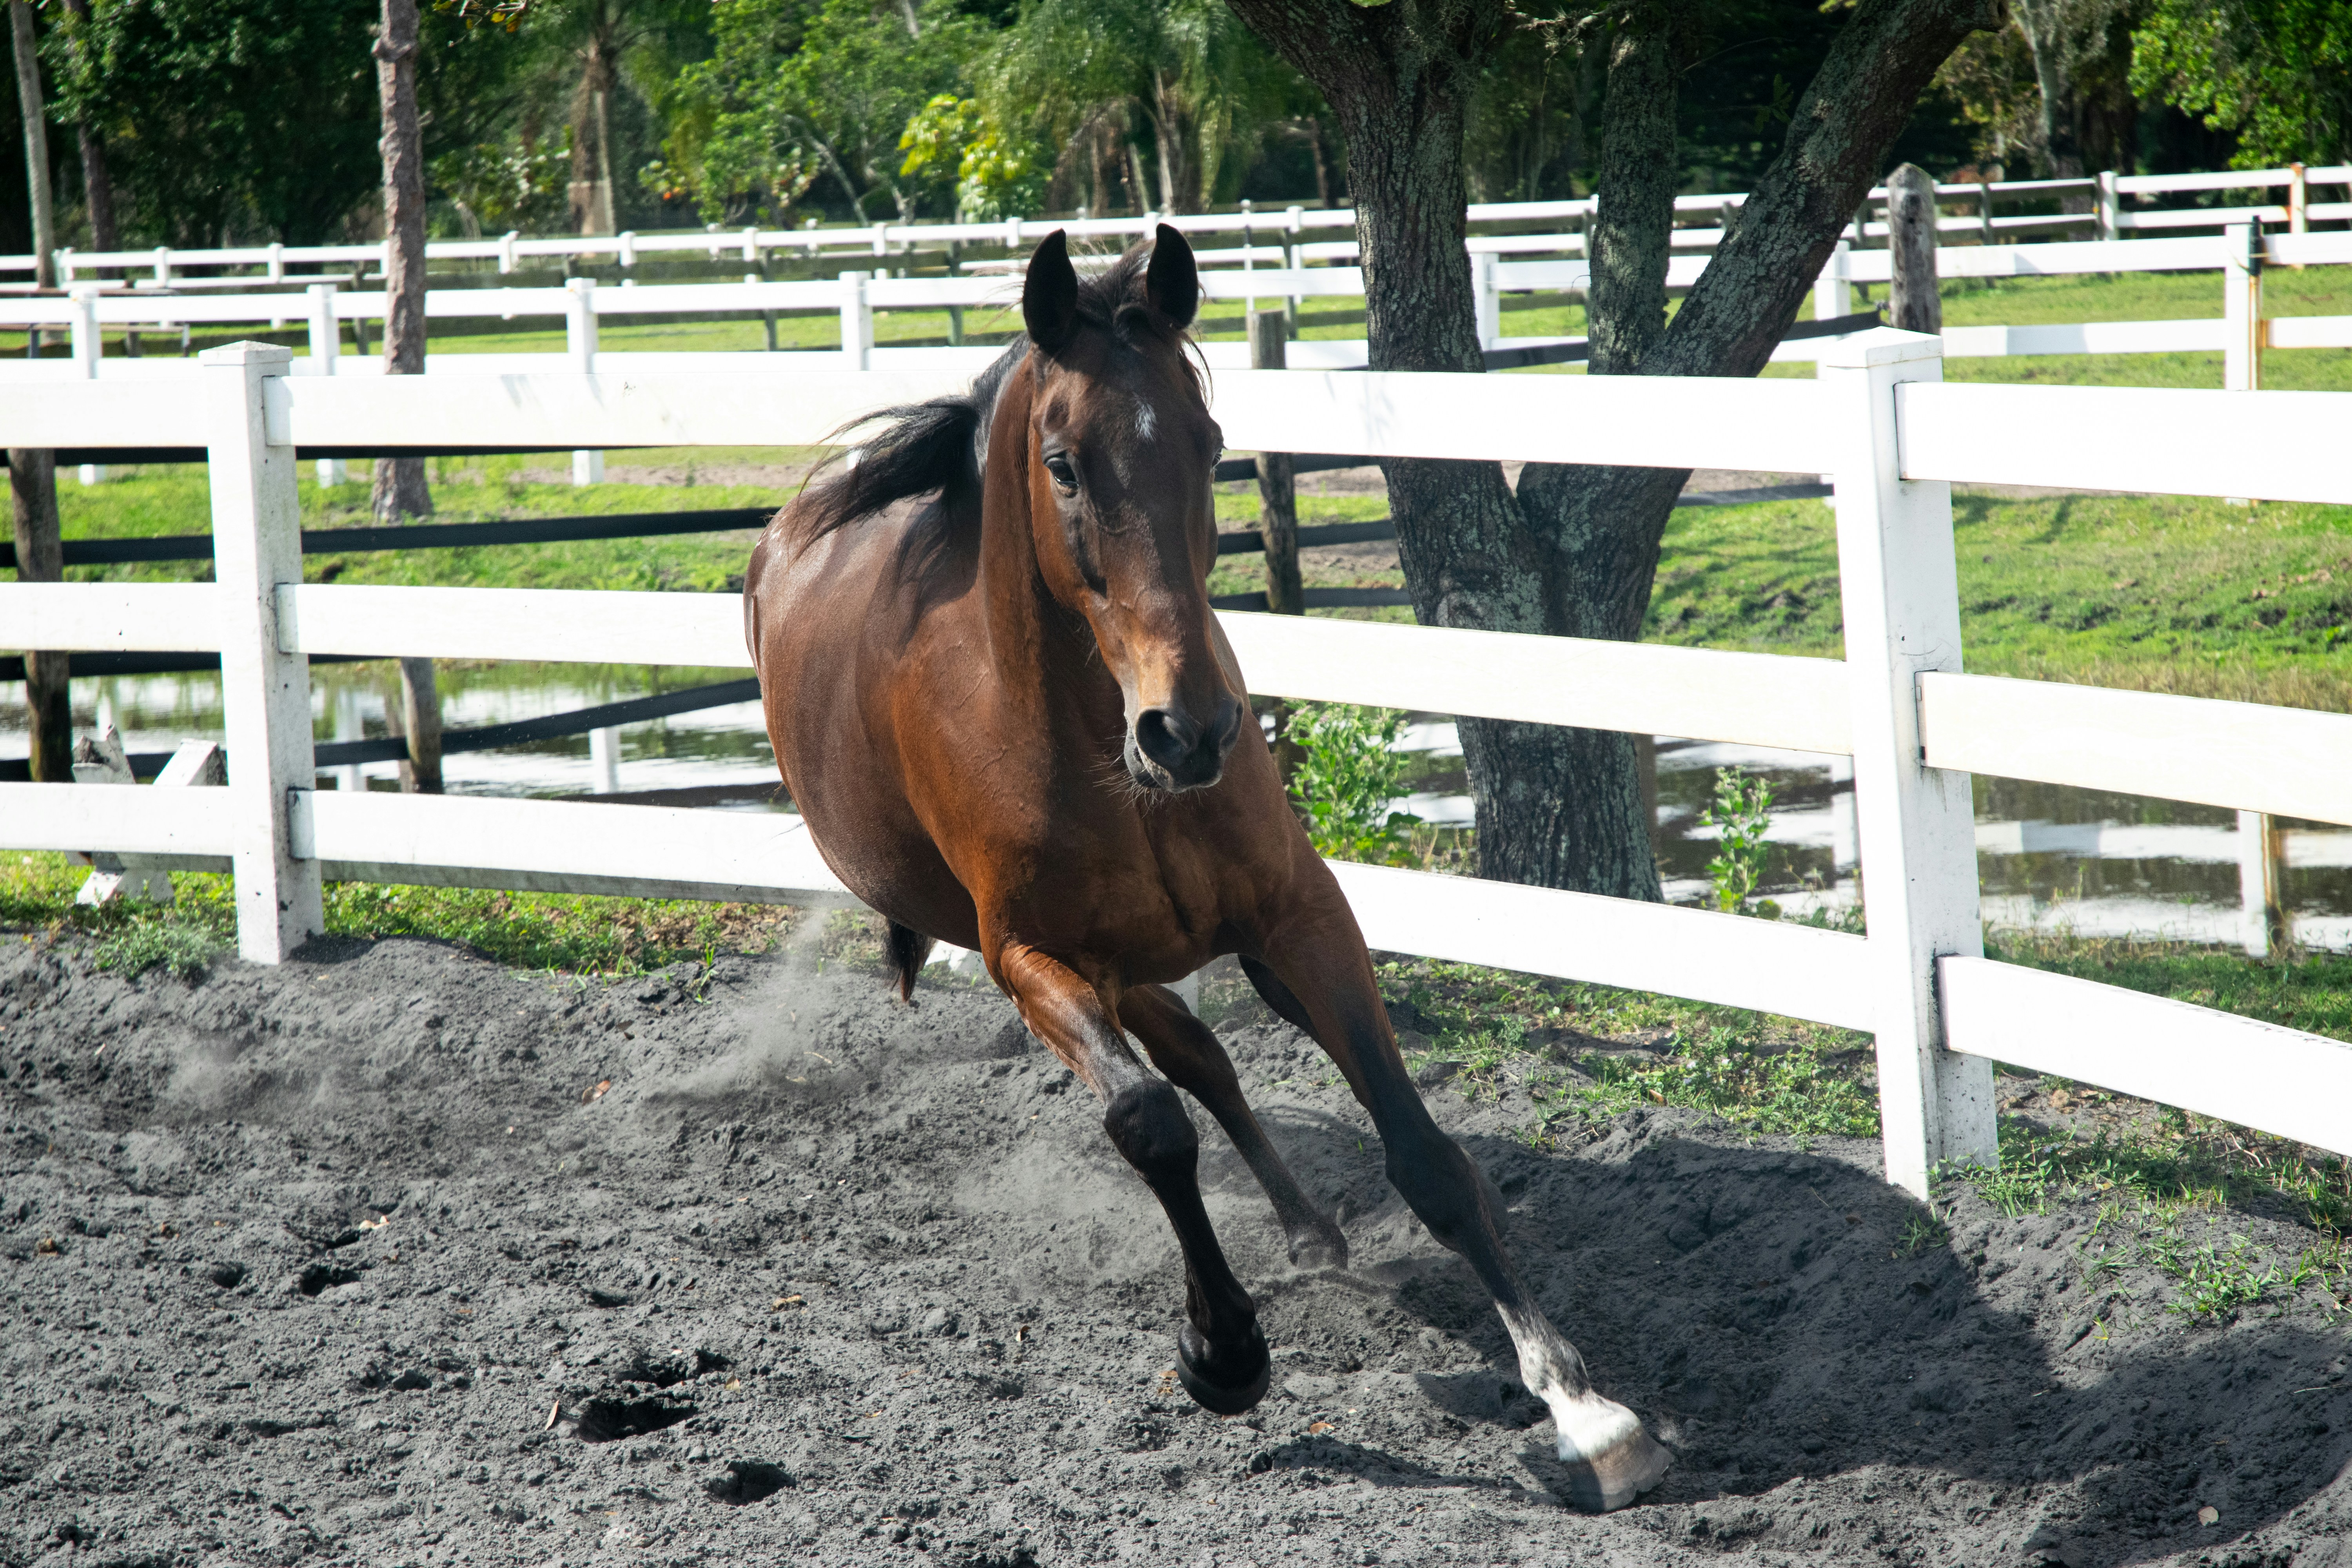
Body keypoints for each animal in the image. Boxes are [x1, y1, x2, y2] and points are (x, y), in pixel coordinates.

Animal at [743, 226, 1672, 1511]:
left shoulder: (1301, 916)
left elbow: (1424, 1154)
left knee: (1213, 1058)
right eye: (1063, 464)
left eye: (1210, 442)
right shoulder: (1030, 958)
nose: (1188, 731)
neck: (1098, 742)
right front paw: (1222, 1351)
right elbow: (1149, 1122)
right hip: (1101, 967)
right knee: (1184, 1069)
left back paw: (1311, 1230)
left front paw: (1586, 1409)